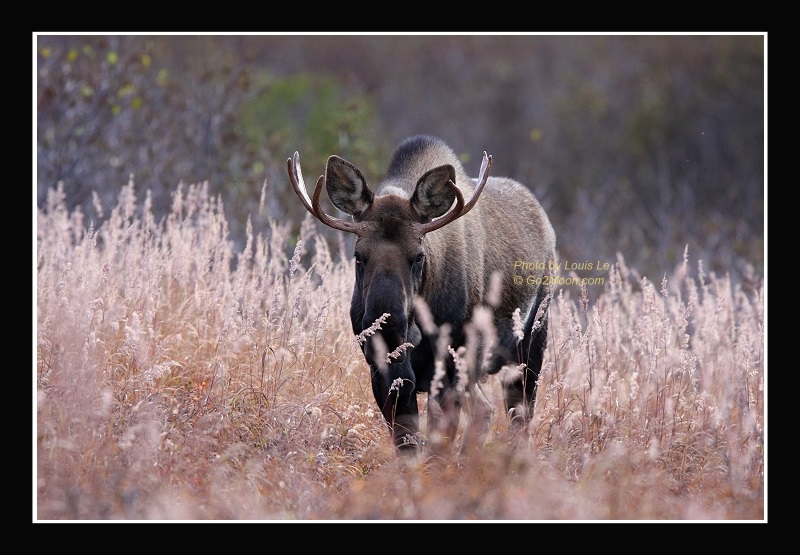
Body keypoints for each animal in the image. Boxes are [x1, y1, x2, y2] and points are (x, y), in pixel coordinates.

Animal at [288, 135, 556, 453]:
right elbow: (406, 440)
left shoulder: (453, 363)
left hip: (531, 340)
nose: (387, 324)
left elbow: (439, 441)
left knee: (519, 416)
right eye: (358, 256)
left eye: (418, 256)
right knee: (486, 409)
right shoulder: (382, 368)